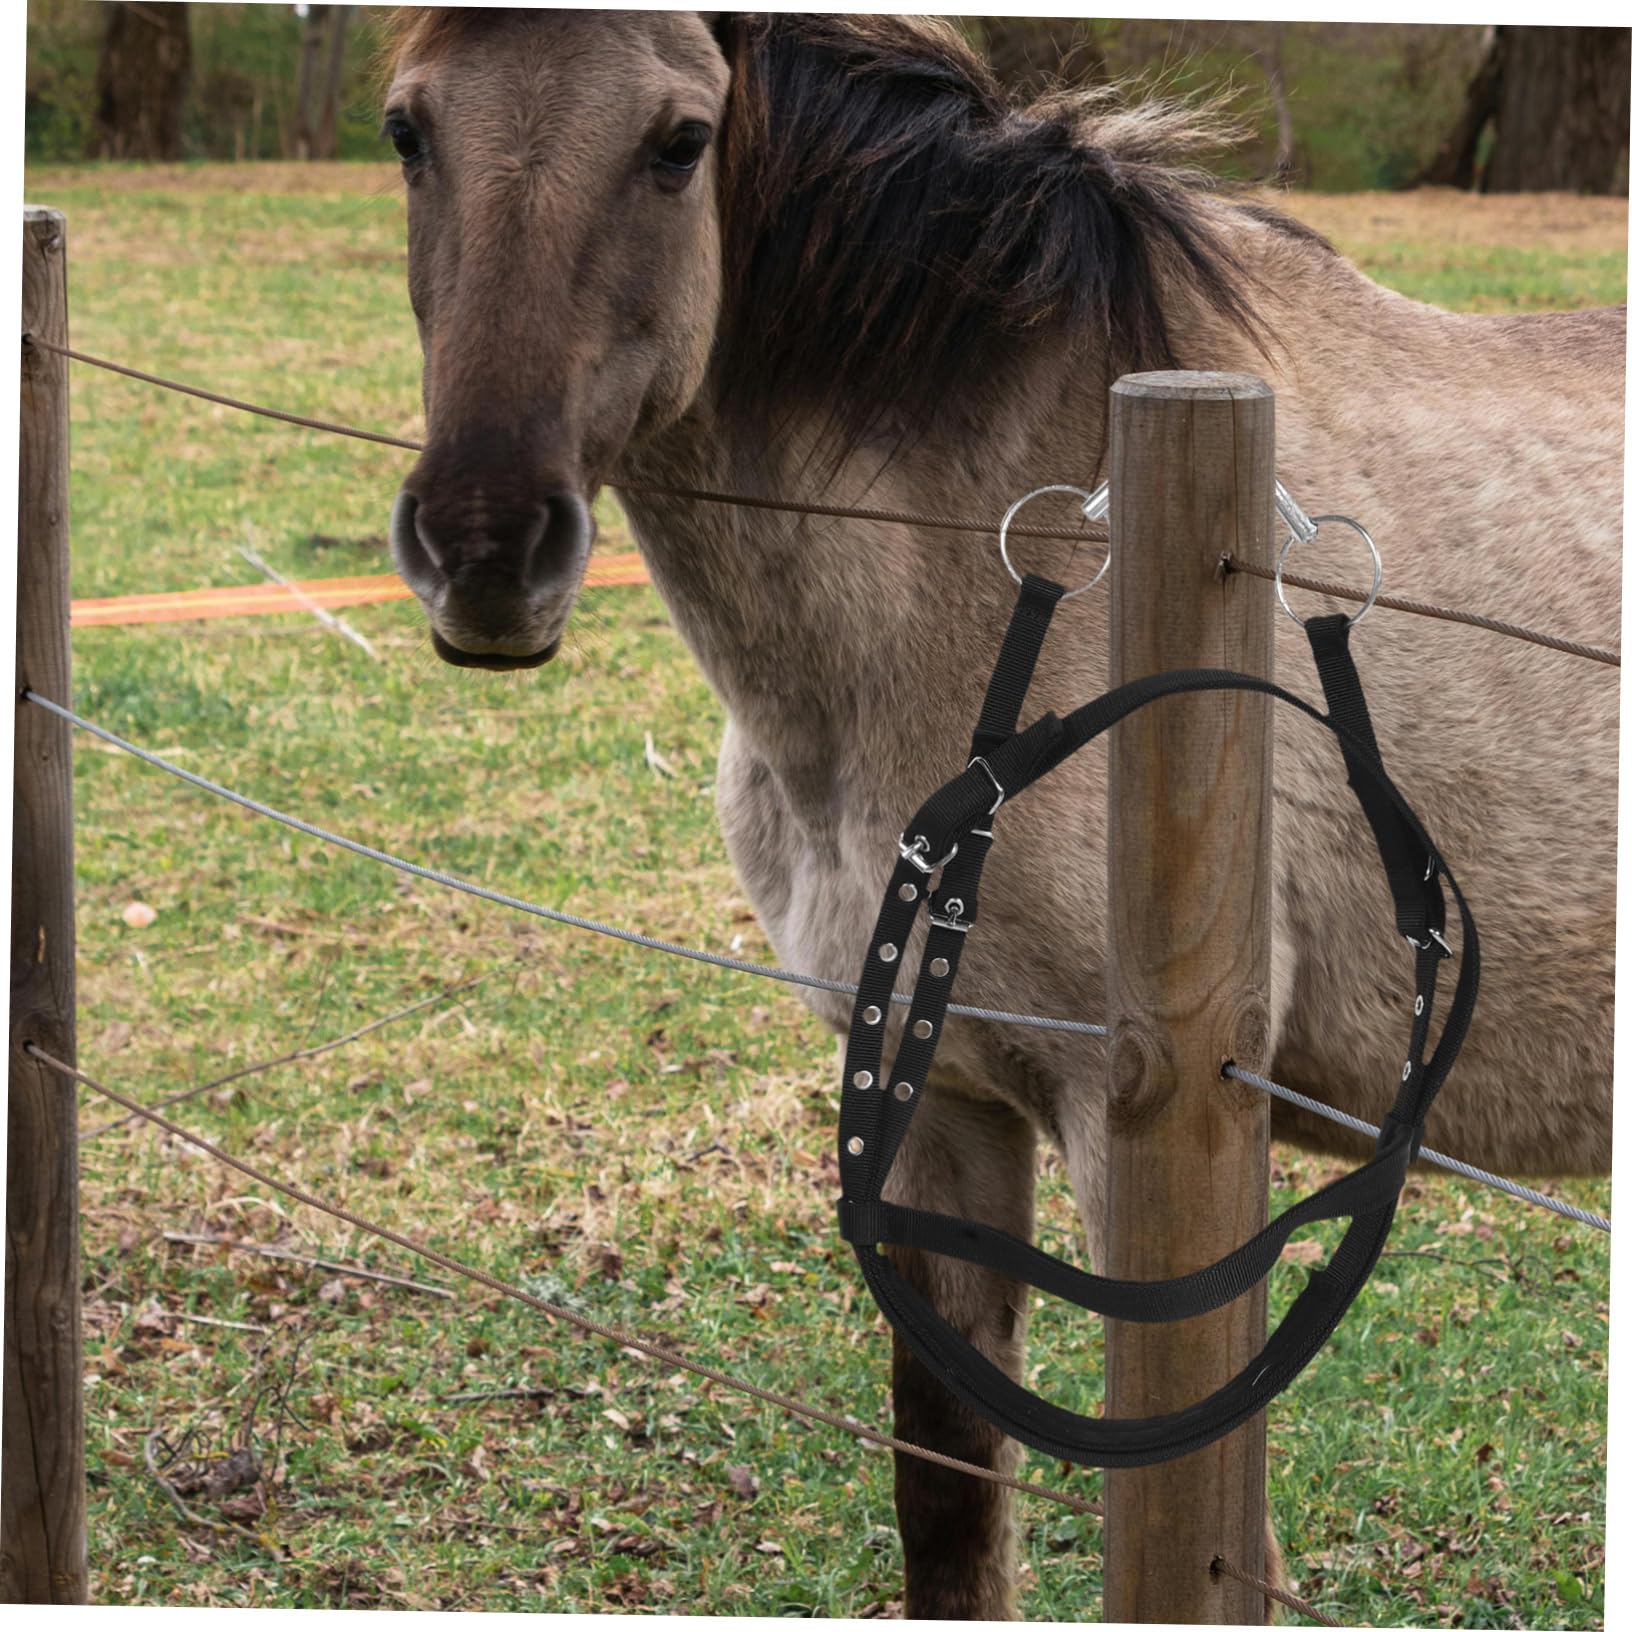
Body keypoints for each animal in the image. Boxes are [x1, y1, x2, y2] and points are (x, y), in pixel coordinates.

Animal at [380, 11, 1622, 1618]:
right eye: (408, 130)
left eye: (679, 140)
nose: (484, 550)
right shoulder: (944, 1111)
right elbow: (952, 1505)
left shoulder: (1138, 1133)